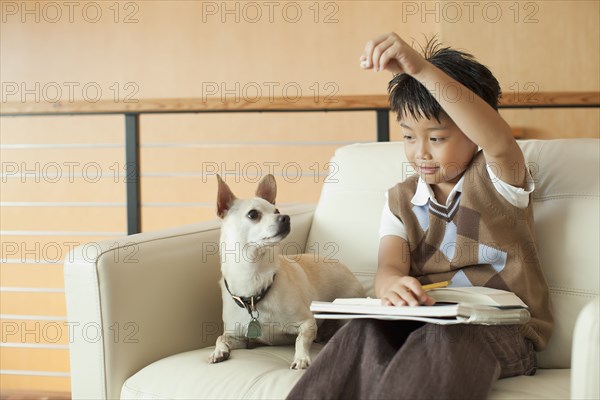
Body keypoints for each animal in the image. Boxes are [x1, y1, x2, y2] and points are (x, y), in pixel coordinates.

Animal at [209, 174, 364, 368]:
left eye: (276, 210)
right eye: (253, 214)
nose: (286, 217)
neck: (254, 278)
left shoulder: (308, 323)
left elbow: (300, 339)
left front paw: (301, 358)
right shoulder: (240, 337)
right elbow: (220, 337)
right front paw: (218, 351)